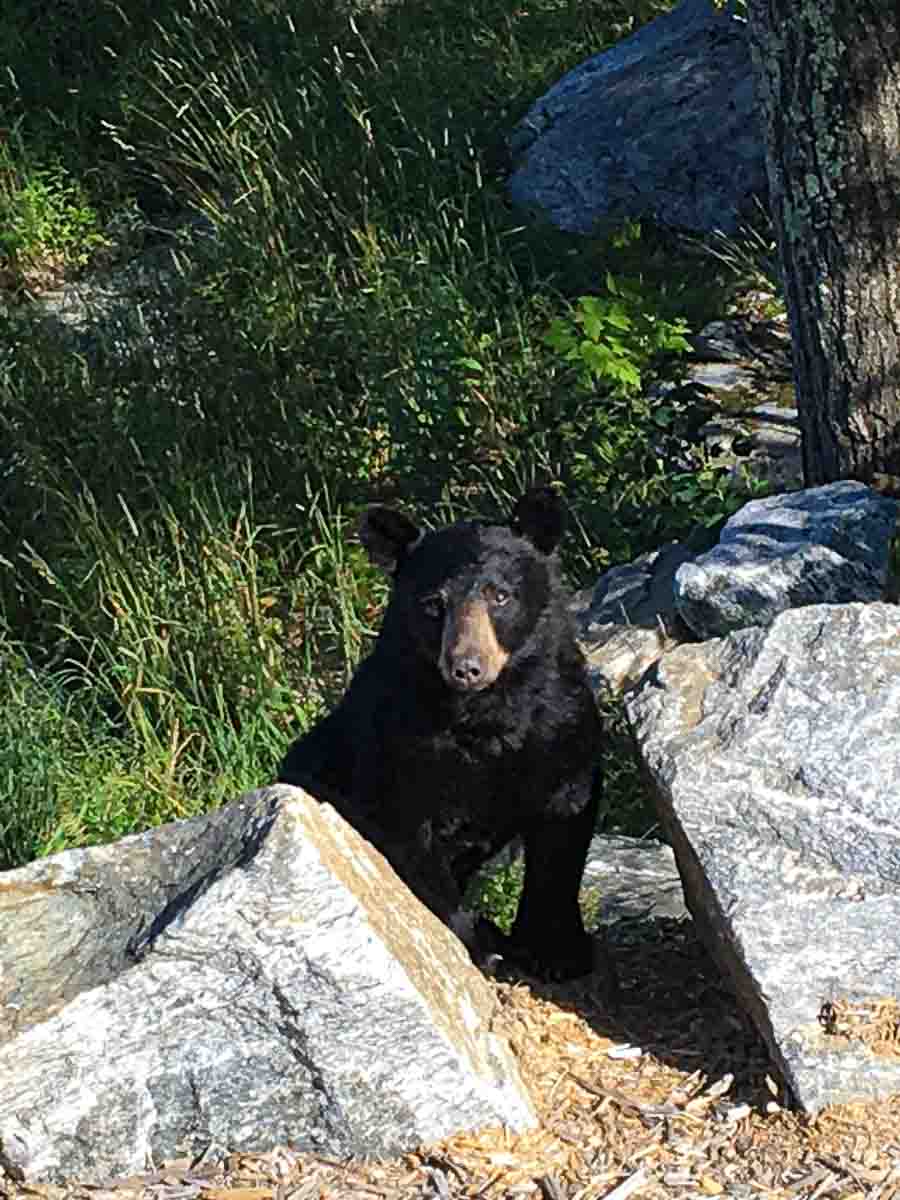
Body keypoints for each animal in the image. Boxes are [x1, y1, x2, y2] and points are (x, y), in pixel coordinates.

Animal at [278, 486, 602, 980]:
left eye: (499, 595)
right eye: (433, 603)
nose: (466, 666)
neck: (485, 714)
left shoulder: (560, 726)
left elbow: (564, 827)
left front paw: (559, 951)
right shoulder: (397, 748)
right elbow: (415, 849)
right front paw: (484, 951)